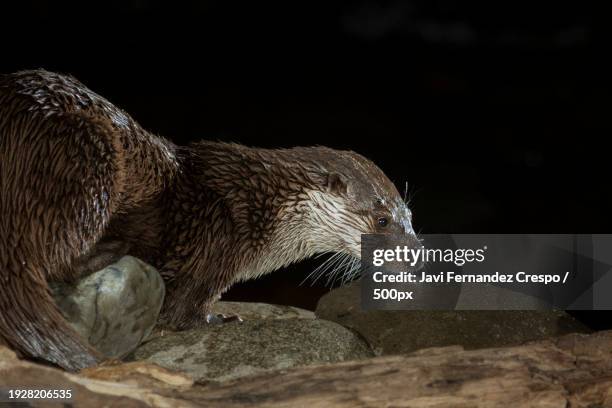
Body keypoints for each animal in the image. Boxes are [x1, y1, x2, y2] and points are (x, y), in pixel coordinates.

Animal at [0, 69, 416, 370]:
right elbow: (183, 312)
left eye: (410, 216)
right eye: (382, 220)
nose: (416, 255)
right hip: (88, 155)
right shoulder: (216, 241)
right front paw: (219, 320)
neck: (260, 204)